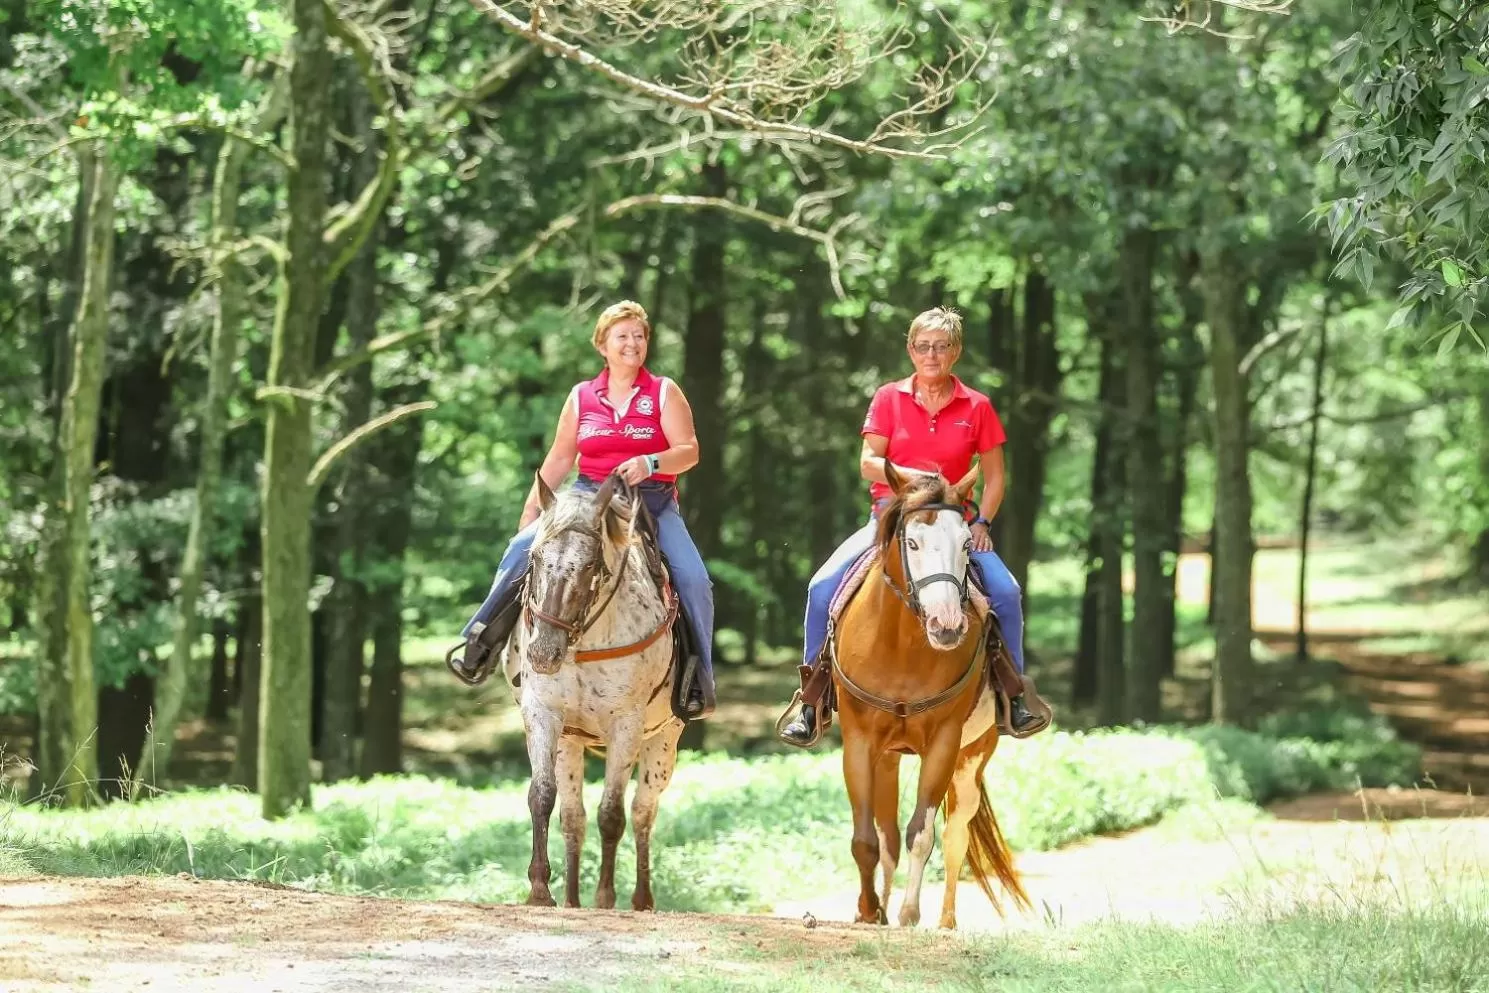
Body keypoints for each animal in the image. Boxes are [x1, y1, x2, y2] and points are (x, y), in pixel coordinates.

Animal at [502, 471, 684, 911]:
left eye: (590, 565)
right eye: (535, 558)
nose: (543, 653)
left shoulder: (626, 725)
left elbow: (612, 813)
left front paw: (604, 896)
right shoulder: (543, 713)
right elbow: (542, 796)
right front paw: (540, 890)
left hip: (663, 743)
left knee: (642, 811)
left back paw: (641, 898)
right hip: (571, 744)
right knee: (573, 817)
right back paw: (571, 899)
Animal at [830, 464, 1031, 929]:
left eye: (967, 544)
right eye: (913, 542)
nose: (947, 624)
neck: (902, 645)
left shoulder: (943, 742)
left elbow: (922, 833)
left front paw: (908, 914)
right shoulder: (860, 743)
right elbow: (866, 840)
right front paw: (869, 911)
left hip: (973, 755)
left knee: (957, 834)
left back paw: (946, 922)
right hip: (888, 758)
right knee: (886, 836)